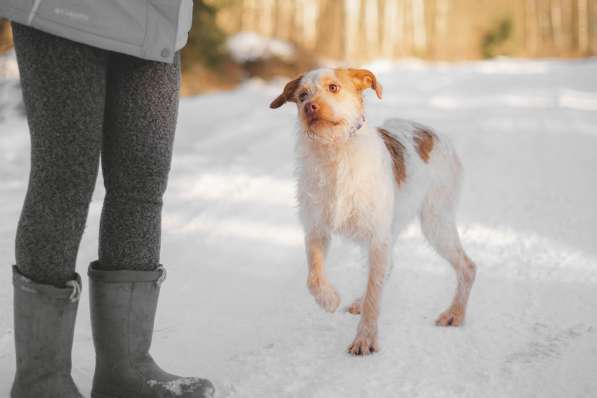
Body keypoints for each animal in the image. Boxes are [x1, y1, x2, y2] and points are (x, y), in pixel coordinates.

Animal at [268, 67, 474, 354]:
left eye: (333, 87)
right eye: (301, 95)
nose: (310, 107)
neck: (336, 150)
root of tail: (433, 132)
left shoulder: (377, 238)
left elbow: (375, 296)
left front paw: (365, 338)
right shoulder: (316, 229)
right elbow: (314, 277)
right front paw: (328, 299)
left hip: (436, 223)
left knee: (467, 267)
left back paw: (455, 313)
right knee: (389, 267)